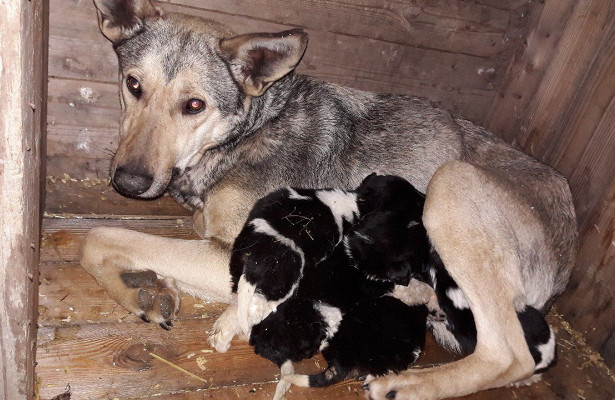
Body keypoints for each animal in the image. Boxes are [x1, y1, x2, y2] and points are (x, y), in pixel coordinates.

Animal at [80, 1, 576, 398]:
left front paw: (132, 289)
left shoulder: (238, 255)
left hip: (450, 185)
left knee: (509, 355)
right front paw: (149, 286)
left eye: (194, 106)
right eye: (134, 85)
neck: (251, 129)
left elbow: (100, 236)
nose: (128, 181)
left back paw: (409, 384)